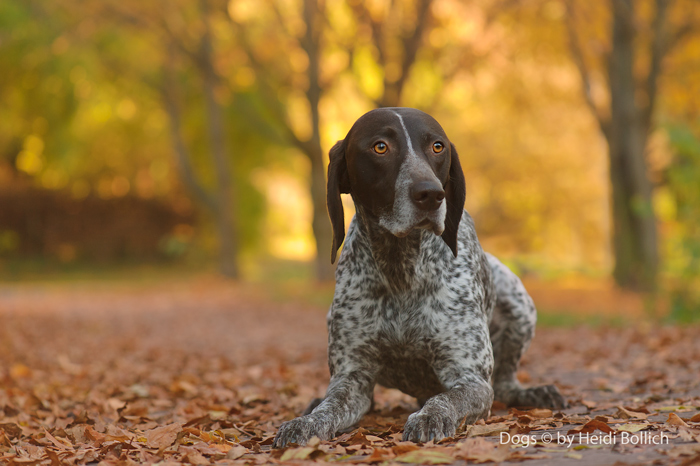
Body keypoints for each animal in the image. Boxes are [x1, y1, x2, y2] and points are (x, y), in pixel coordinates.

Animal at [270, 106, 568, 448]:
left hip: (519, 303)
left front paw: (429, 417)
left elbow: (445, 399)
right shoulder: (352, 378)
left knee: (505, 383)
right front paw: (304, 422)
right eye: (380, 146)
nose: (431, 194)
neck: (401, 267)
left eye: (437, 147)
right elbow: (328, 408)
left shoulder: (471, 379)